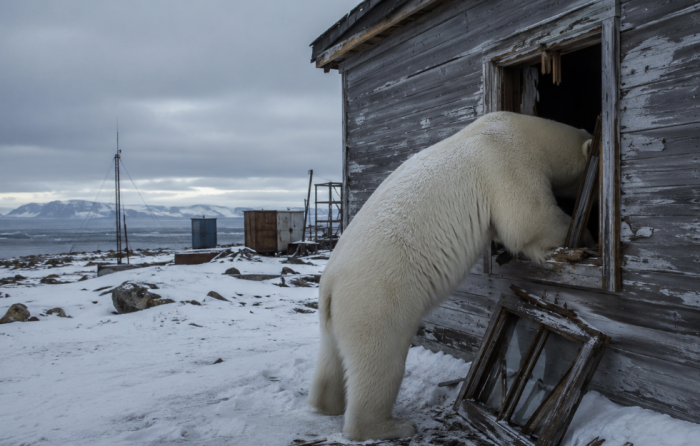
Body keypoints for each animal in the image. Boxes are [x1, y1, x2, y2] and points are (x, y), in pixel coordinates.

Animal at [307, 112, 593, 441]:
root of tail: (330, 284)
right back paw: (389, 426)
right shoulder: (507, 161)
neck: (527, 130)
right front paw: (582, 235)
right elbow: (528, 220)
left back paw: (327, 404)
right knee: (379, 358)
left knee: (331, 354)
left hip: (337, 309)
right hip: (376, 297)